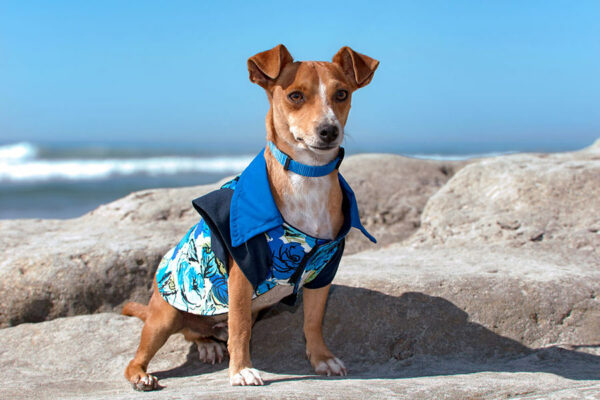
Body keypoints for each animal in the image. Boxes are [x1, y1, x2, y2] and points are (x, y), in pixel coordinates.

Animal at [120, 44, 380, 390]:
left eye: (342, 94)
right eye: (295, 96)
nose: (329, 130)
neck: (307, 176)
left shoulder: (322, 274)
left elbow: (313, 322)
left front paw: (321, 358)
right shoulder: (241, 277)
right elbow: (240, 328)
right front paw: (241, 369)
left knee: (197, 332)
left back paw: (208, 343)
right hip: (164, 318)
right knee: (144, 353)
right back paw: (143, 373)